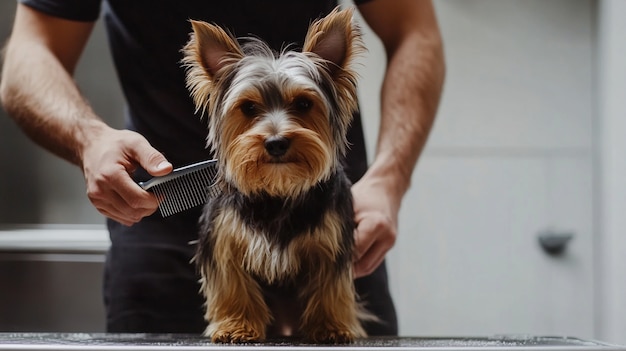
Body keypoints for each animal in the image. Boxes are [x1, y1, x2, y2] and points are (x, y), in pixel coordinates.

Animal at [182, 6, 366, 346]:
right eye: (248, 107)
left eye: (304, 104)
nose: (276, 142)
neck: (279, 190)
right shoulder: (223, 238)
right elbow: (233, 283)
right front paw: (236, 325)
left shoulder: (331, 241)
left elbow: (330, 286)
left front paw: (331, 326)